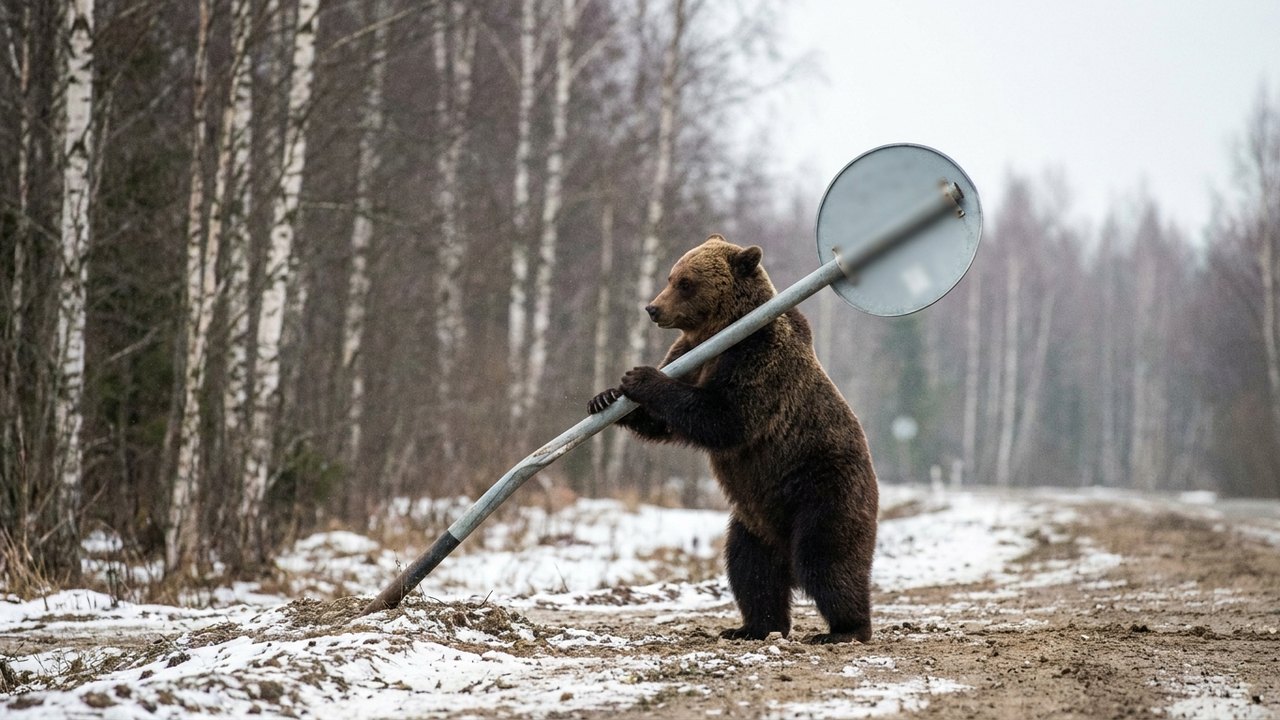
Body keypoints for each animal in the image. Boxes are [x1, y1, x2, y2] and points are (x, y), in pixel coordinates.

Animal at [588, 235, 879, 644]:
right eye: (671, 275)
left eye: (686, 282)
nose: (653, 308)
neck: (721, 334)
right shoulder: (690, 354)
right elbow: (662, 422)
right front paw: (606, 397)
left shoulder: (758, 358)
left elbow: (725, 416)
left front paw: (641, 377)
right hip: (754, 520)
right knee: (750, 568)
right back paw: (753, 627)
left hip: (823, 489)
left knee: (826, 559)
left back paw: (845, 629)